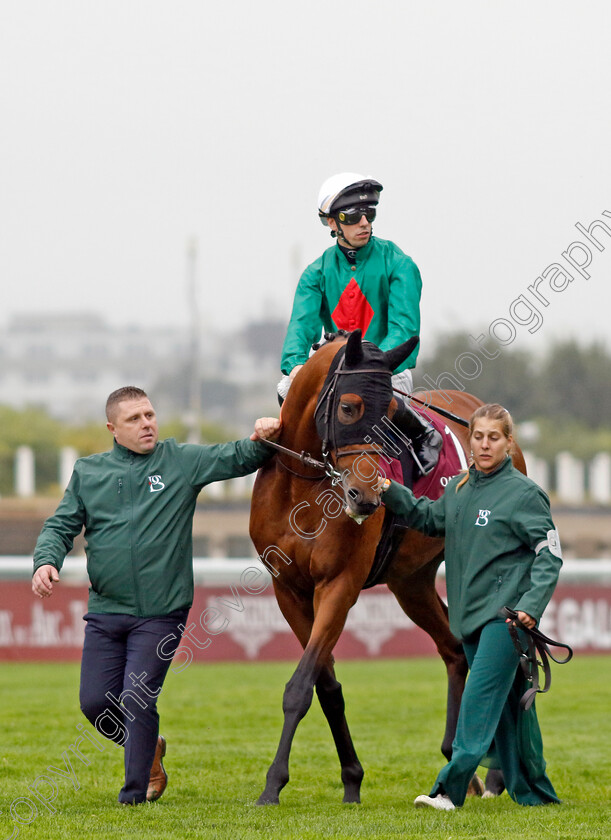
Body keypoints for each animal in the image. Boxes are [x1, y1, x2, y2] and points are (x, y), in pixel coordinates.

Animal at [250, 326, 524, 800]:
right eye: (348, 407)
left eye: (394, 413)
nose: (365, 498)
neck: (304, 487)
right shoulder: (289, 591)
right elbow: (325, 685)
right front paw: (351, 780)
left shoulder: (339, 585)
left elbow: (301, 686)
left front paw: (273, 784)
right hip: (411, 583)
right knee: (455, 649)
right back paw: (460, 765)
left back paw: (496, 775)